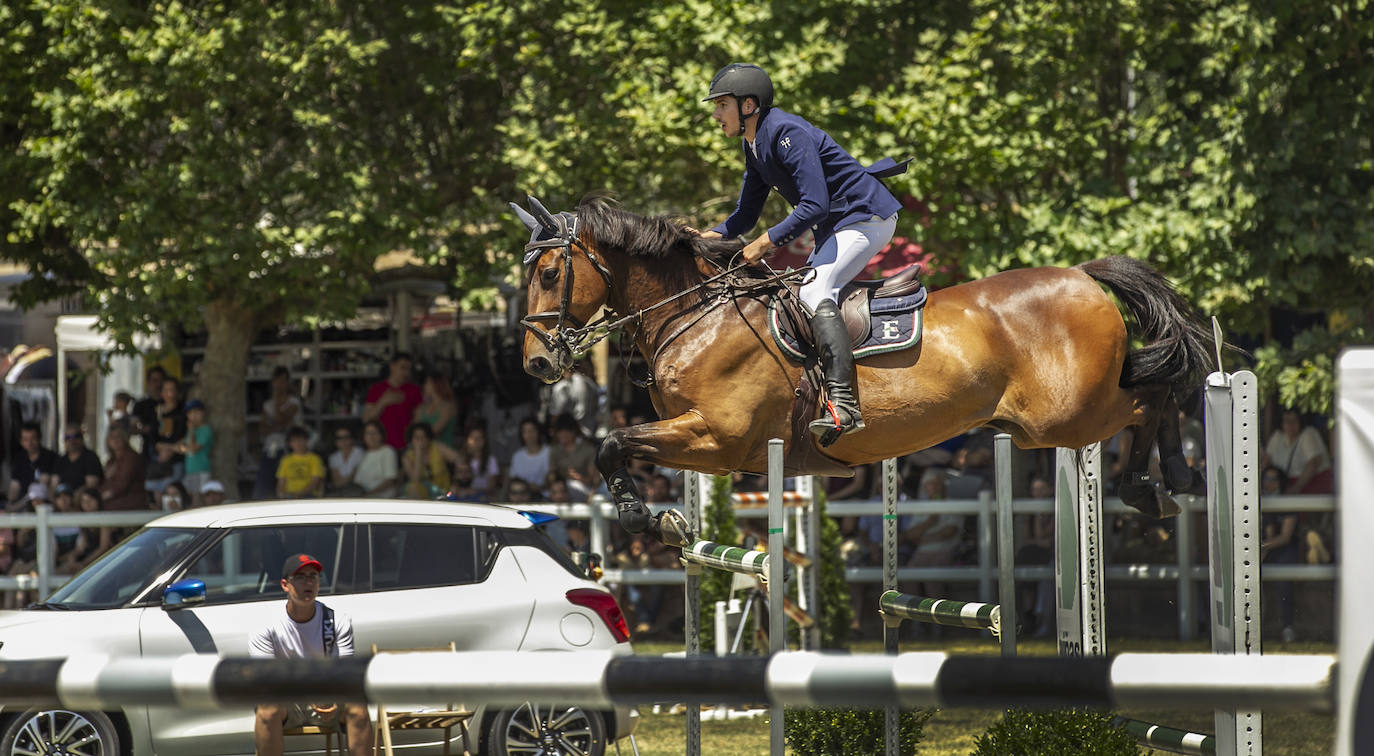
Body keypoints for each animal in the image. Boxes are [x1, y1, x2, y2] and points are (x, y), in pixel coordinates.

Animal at [511, 197, 1209, 547]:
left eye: (547, 272)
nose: (538, 363)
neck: (697, 313)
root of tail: (1083, 276)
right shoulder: (709, 447)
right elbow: (619, 448)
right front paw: (662, 520)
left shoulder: (719, 437)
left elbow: (609, 442)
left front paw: (644, 518)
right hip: (1059, 417)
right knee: (1156, 388)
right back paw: (1172, 478)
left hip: (1066, 417)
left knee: (1154, 395)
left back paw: (1156, 483)